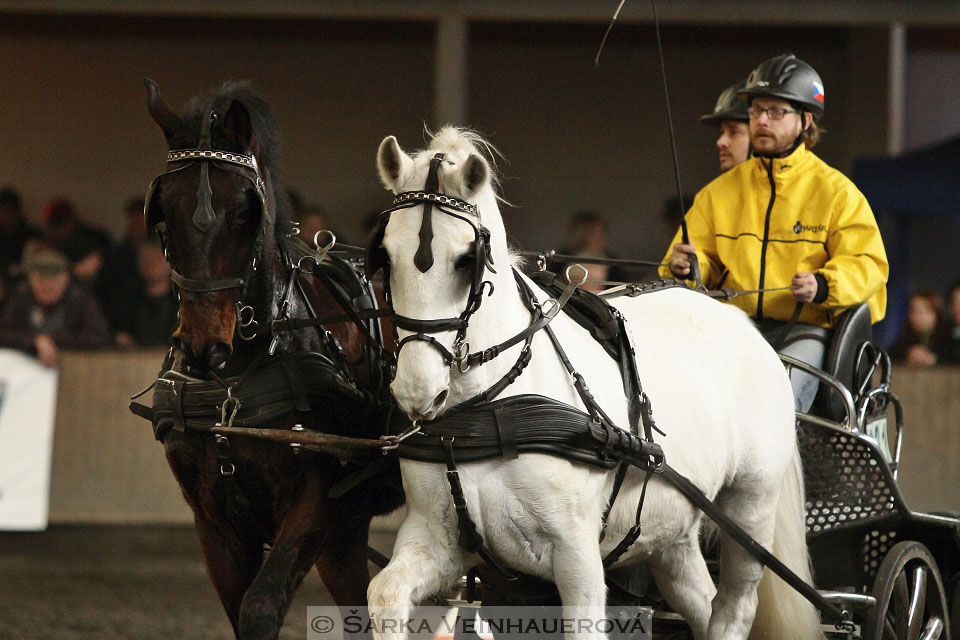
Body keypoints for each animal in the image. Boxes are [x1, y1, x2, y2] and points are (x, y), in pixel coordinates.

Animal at [138, 81, 402, 640]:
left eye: (245, 212)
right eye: (163, 212)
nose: (205, 345)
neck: (236, 381)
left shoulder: (315, 503)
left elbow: (260, 608)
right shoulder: (214, 523)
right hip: (346, 534)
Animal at [364, 126, 820, 640]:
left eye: (466, 260)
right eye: (386, 257)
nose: (417, 391)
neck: (487, 407)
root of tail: (743, 322)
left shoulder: (575, 553)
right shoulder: (436, 539)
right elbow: (384, 594)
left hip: (750, 506)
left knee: (734, 607)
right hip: (672, 526)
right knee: (700, 599)